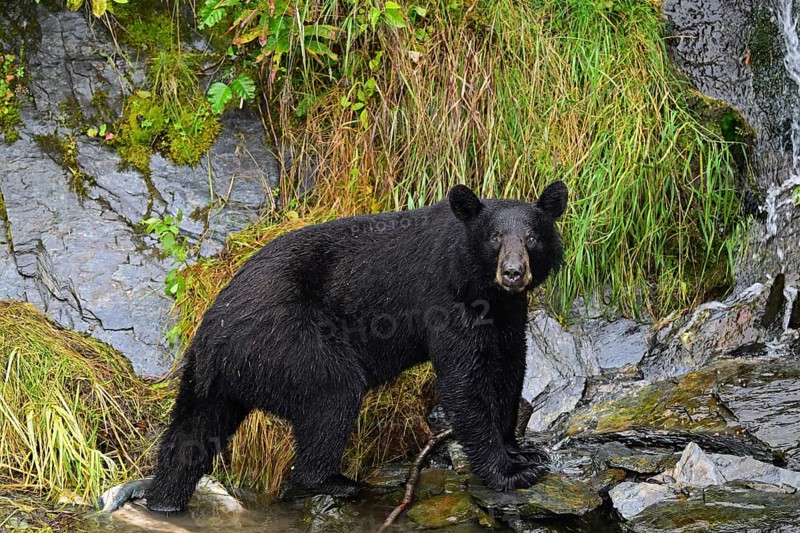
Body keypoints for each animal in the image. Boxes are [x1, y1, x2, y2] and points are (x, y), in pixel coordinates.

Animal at [145, 181, 568, 513]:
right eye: (494, 237)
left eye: (532, 237)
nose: (512, 272)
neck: (482, 285)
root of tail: (211, 334)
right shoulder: (446, 300)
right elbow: (464, 382)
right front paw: (510, 471)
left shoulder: (507, 311)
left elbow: (509, 367)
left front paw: (521, 450)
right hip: (288, 341)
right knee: (333, 393)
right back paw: (335, 480)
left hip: (217, 378)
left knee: (191, 432)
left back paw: (163, 499)